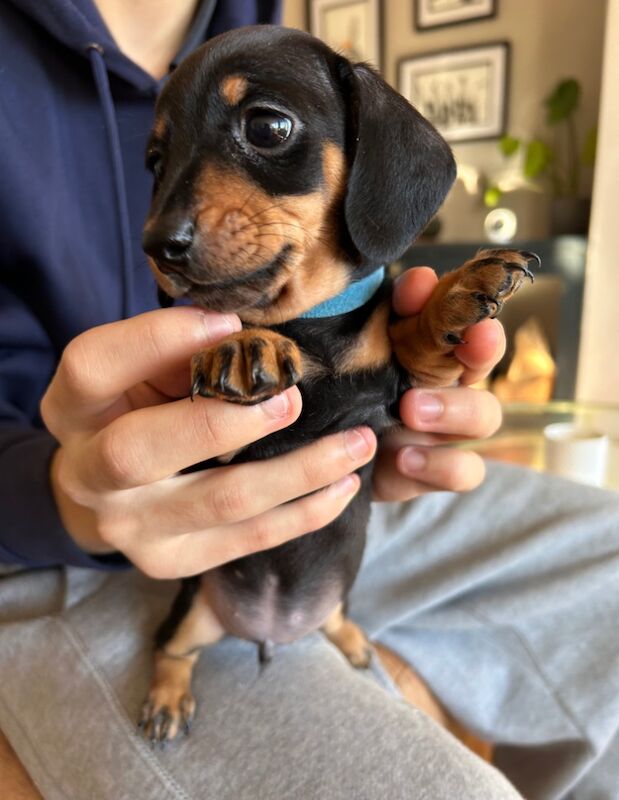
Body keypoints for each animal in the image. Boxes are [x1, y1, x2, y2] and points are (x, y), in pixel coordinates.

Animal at [140, 25, 536, 744]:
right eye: (155, 161)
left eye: (267, 126)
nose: (158, 245)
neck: (311, 326)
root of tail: (271, 631)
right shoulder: (216, 455)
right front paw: (242, 342)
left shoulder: (400, 407)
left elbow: (410, 349)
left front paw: (454, 294)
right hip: (190, 606)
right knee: (172, 647)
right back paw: (166, 697)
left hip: (335, 596)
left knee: (333, 616)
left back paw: (352, 641)